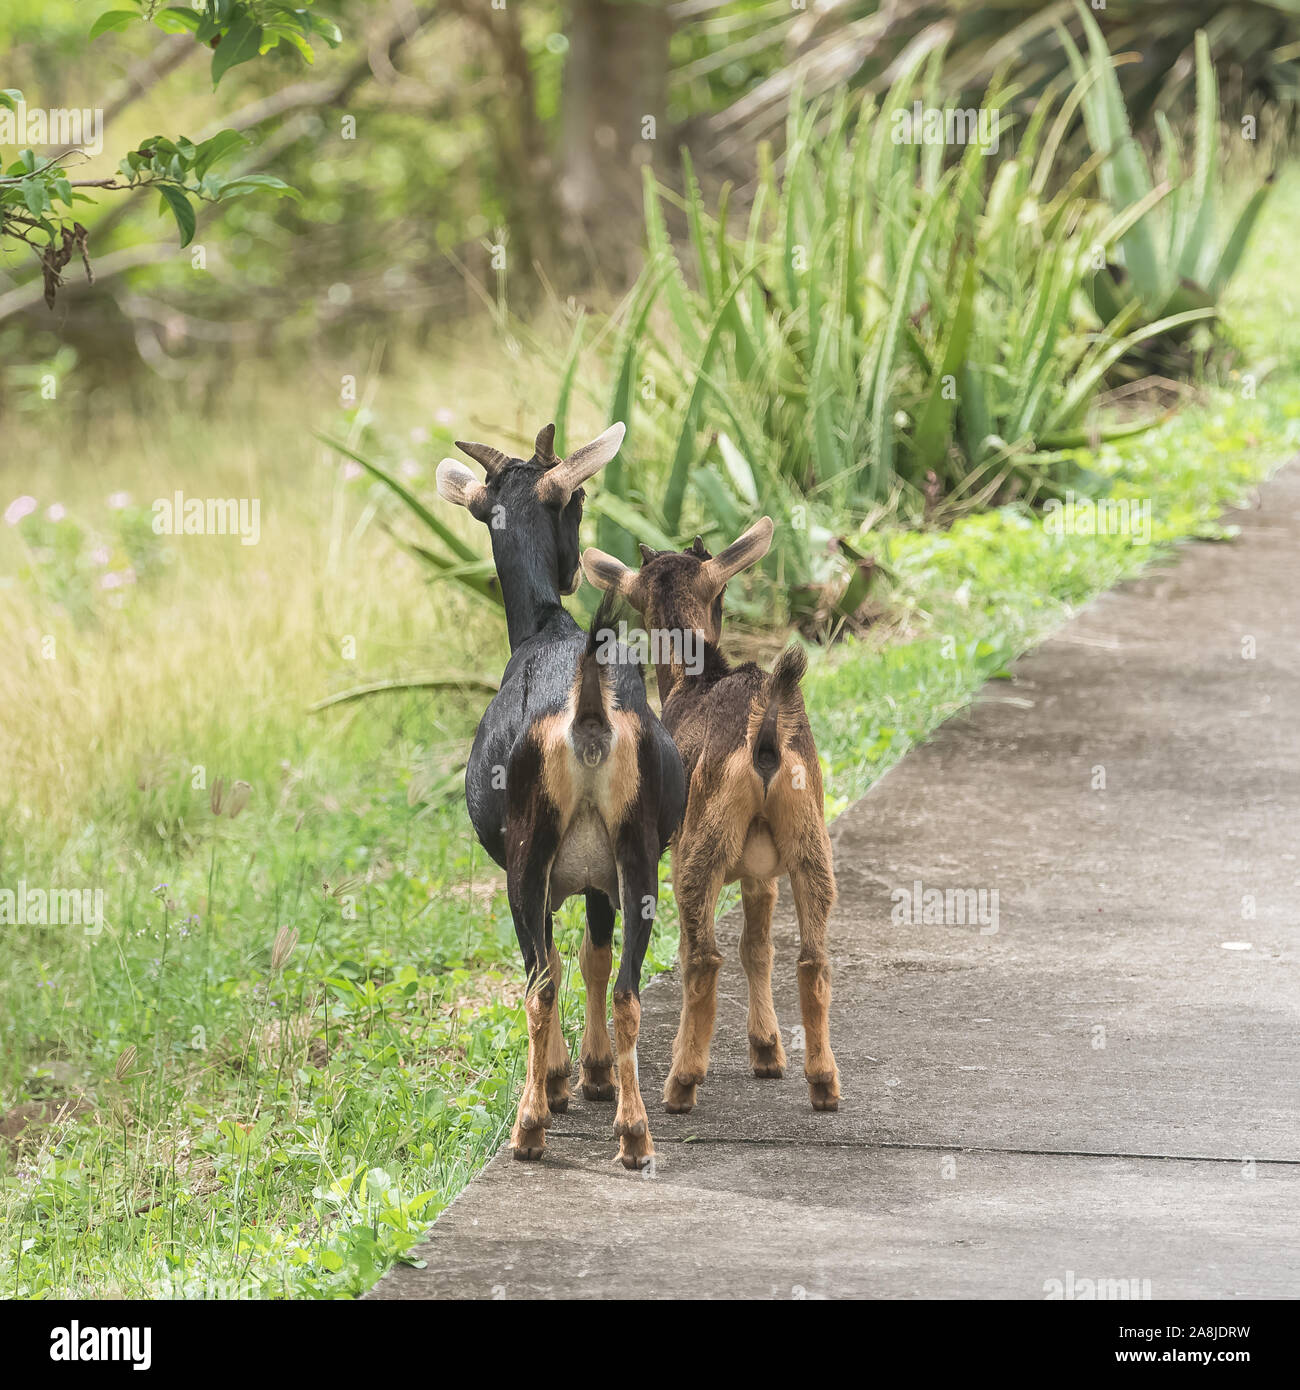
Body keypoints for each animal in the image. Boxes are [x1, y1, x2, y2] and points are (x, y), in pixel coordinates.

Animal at [436, 423, 685, 1168]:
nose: (576, 568)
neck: (547, 626)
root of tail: (587, 709)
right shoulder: (602, 877)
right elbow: (596, 959)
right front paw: (594, 1077)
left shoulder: (547, 877)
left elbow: (555, 962)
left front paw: (566, 1078)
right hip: (638, 856)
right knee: (628, 986)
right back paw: (633, 1135)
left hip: (527, 858)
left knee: (538, 986)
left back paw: (531, 1128)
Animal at [581, 518, 840, 1116]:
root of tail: (765, 739)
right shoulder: (761, 874)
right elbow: (758, 947)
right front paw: (767, 1051)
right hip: (810, 841)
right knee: (811, 960)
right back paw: (823, 1083)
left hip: (700, 849)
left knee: (702, 959)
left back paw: (681, 1083)